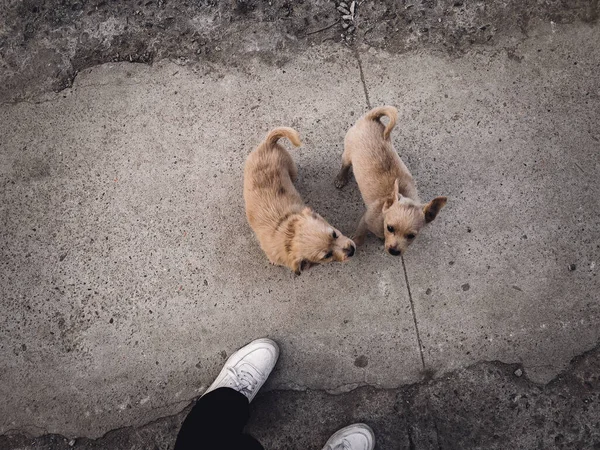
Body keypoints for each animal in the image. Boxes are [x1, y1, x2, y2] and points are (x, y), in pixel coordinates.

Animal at [245, 126, 356, 274]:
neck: (286, 230)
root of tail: (268, 144)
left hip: (292, 169)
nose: (352, 251)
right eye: (327, 255)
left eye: (334, 234)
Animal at [336, 103, 448, 255]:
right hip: (347, 154)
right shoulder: (365, 221)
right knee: (345, 165)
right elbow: (360, 235)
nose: (394, 251)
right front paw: (357, 243)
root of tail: (370, 118)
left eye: (411, 236)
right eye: (390, 228)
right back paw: (341, 179)